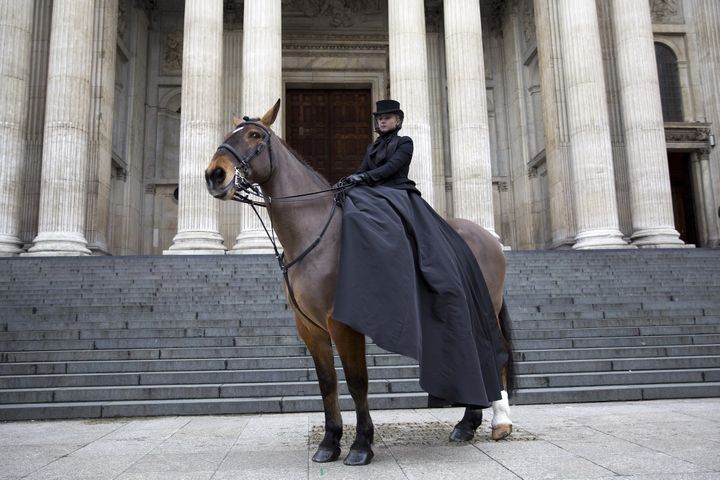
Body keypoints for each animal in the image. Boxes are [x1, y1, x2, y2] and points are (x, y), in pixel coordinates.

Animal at [205, 100, 516, 464]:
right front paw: (329, 442)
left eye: (255, 135)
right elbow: (328, 384)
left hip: (486, 307)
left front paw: (361, 444)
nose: (214, 175)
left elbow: (357, 382)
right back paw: (467, 424)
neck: (315, 233)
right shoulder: (309, 327)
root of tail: (489, 236)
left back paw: (500, 423)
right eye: (231, 134)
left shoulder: (342, 324)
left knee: (496, 353)